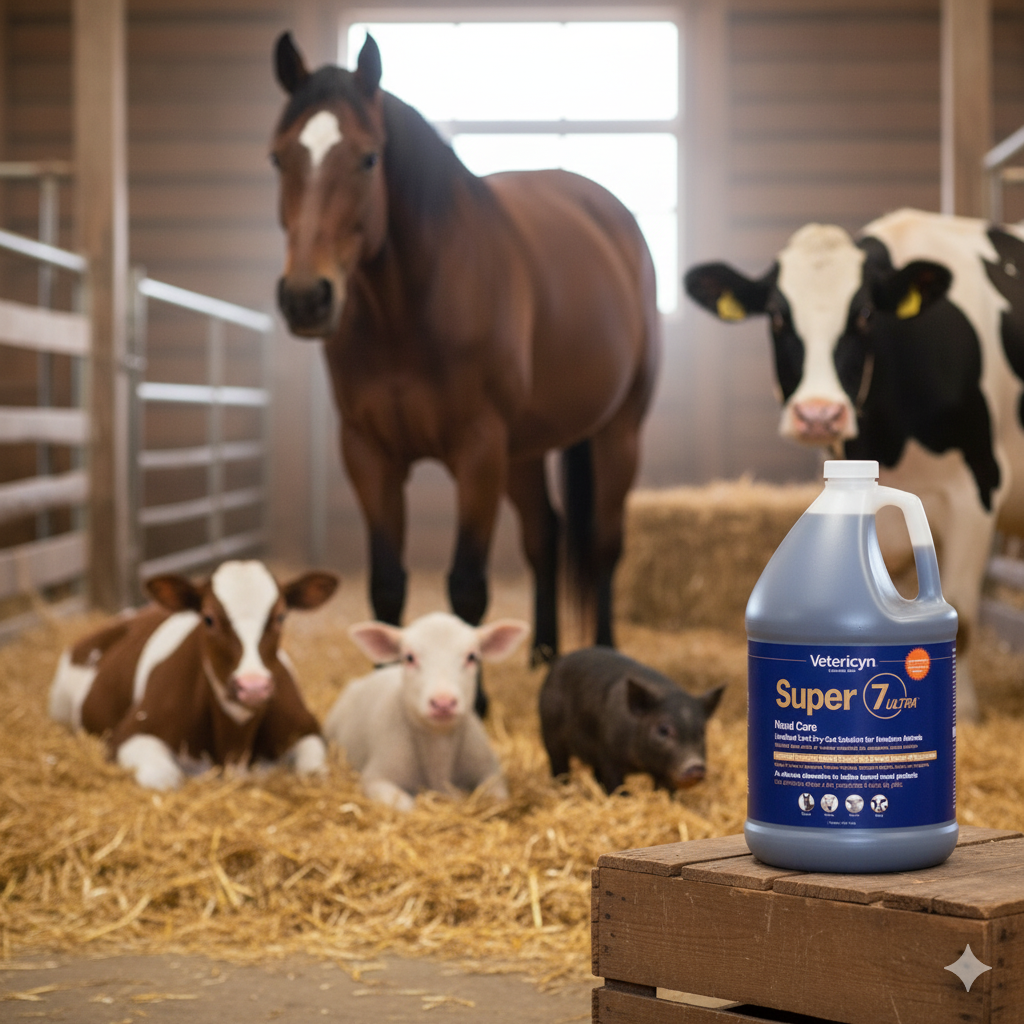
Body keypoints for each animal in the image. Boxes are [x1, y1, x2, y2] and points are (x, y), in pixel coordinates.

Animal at [270, 32, 660, 695]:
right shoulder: (368, 453)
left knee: (605, 545)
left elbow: (467, 588)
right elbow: (387, 586)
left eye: (369, 159)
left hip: (619, 432)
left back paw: (606, 651)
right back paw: (545, 655)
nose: (305, 296)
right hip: (525, 450)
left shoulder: (478, 450)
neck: (410, 309)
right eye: (278, 158)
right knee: (545, 536)